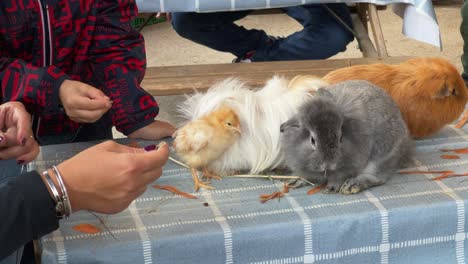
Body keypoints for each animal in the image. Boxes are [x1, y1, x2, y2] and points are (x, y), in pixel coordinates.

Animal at [280, 79, 412, 193]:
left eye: (340, 138)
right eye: (312, 140)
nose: (328, 164)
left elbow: (340, 177)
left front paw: (332, 187)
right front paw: (297, 180)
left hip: (381, 158)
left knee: (377, 178)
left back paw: (352, 185)